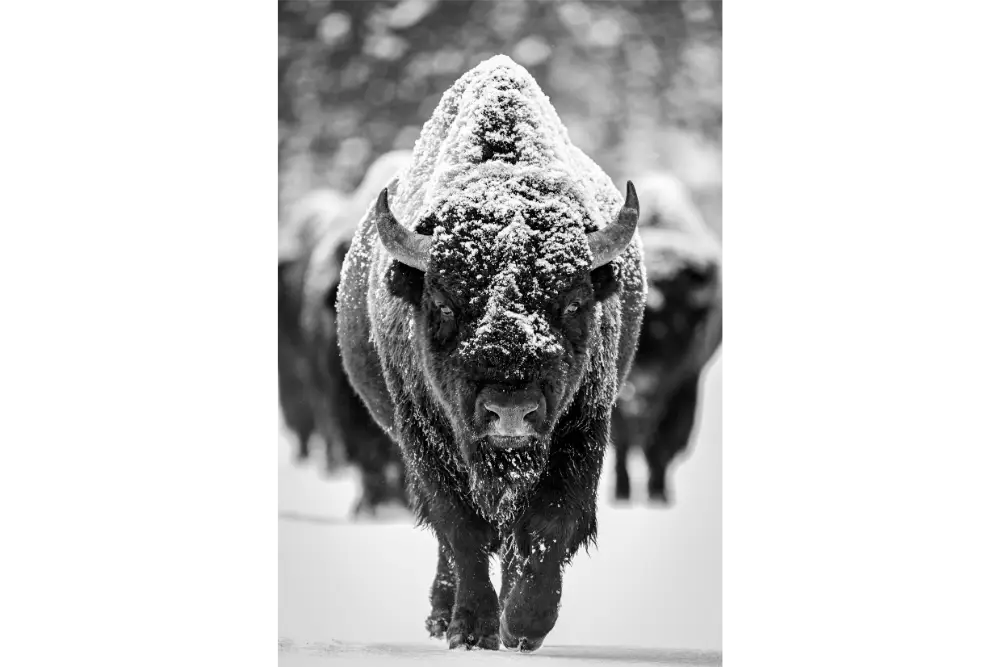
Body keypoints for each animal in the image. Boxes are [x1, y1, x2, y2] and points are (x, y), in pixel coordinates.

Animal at [337, 56, 646, 652]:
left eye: (574, 302)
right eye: (443, 301)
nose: (510, 412)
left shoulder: (582, 430)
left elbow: (548, 526)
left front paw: (523, 624)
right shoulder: (426, 439)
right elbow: (460, 530)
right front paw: (472, 629)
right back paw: (441, 616)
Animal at [610, 172, 727, 504]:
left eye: (677, 328)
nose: (636, 396)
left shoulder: (687, 382)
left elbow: (666, 444)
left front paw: (659, 494)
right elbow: (622, 444)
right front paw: (622, 492)